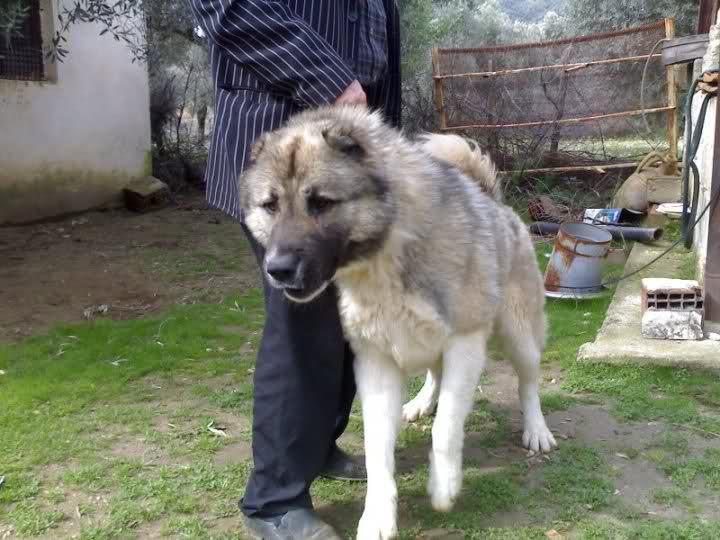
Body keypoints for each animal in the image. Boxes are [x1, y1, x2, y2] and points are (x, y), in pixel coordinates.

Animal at [239, 105, 556, 540]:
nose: (278, 269)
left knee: (527, 385)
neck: (385, 253)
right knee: (434, 376)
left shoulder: (465, 342)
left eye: (320, 202)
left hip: (518, 336)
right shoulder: (376, 364)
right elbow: (377, 450)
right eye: (270, 205)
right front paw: (377, 515)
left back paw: (536, 430)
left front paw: (443, 485)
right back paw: (421, 403)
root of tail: (492, 201)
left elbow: (447, 425)